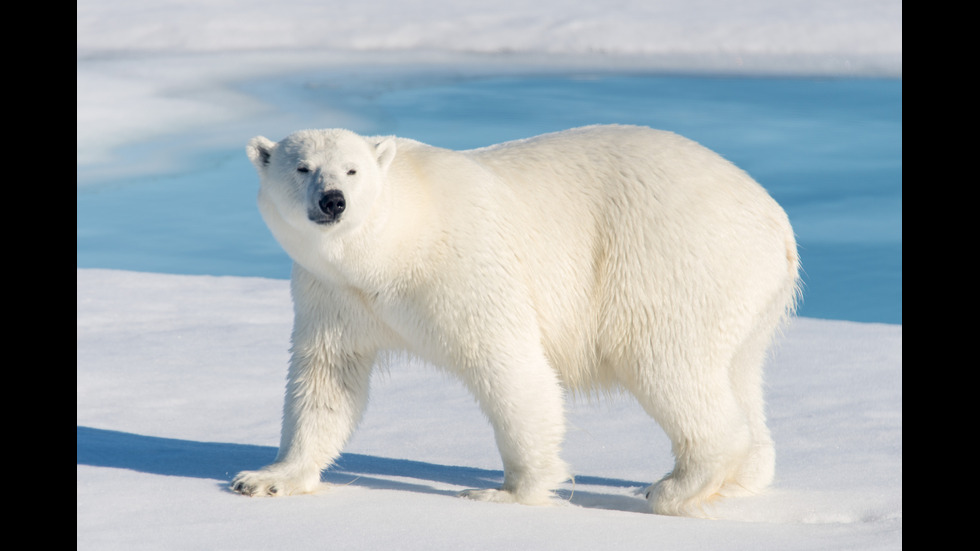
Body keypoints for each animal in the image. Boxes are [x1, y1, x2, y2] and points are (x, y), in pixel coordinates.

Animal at [234, 125, 800, 516]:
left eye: (352, 170)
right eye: (303, 167)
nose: (333, 201)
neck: (392, 246)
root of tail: (776, 220)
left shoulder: (463, 267)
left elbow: (509, 366)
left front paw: (506, 492)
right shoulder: (333, 294)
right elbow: (327, 378)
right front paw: (267, 478)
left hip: (671, 262)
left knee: (667, 363)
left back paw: (673, 486)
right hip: (747, 295)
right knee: (738, 371)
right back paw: (742, 477)